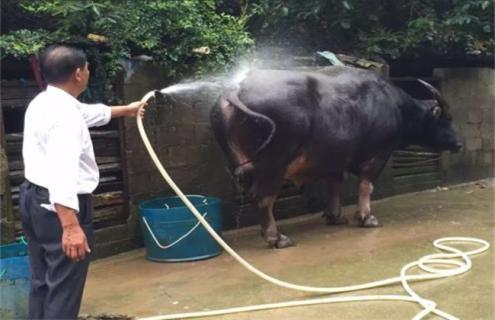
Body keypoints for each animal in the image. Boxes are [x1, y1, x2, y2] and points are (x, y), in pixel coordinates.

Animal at [209, 66, 464, 249]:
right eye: (447, 118)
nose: (459, 143)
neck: (396, 107)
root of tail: (237, 89)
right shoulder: (379, 154)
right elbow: (366, 185)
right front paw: (366, 218)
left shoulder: (334, 160)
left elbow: (334, 184)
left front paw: (335, 216)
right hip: (274, 163)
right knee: (263, 197)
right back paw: (277, 238)